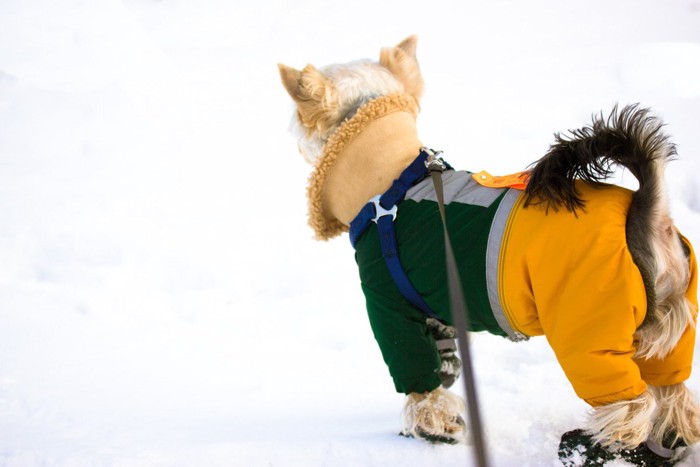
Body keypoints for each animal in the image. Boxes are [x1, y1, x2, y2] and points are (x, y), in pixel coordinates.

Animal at [278, 36, 700, 464]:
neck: (389, 188)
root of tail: (647, 213)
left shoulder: (388, 307)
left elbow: (418, 379)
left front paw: (432, 426)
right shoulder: (440, 310)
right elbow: (444, 358)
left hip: (590, 328)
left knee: (632, 407)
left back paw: (590, 447)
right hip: (668, 331)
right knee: (675, 398)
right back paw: (662, 446)